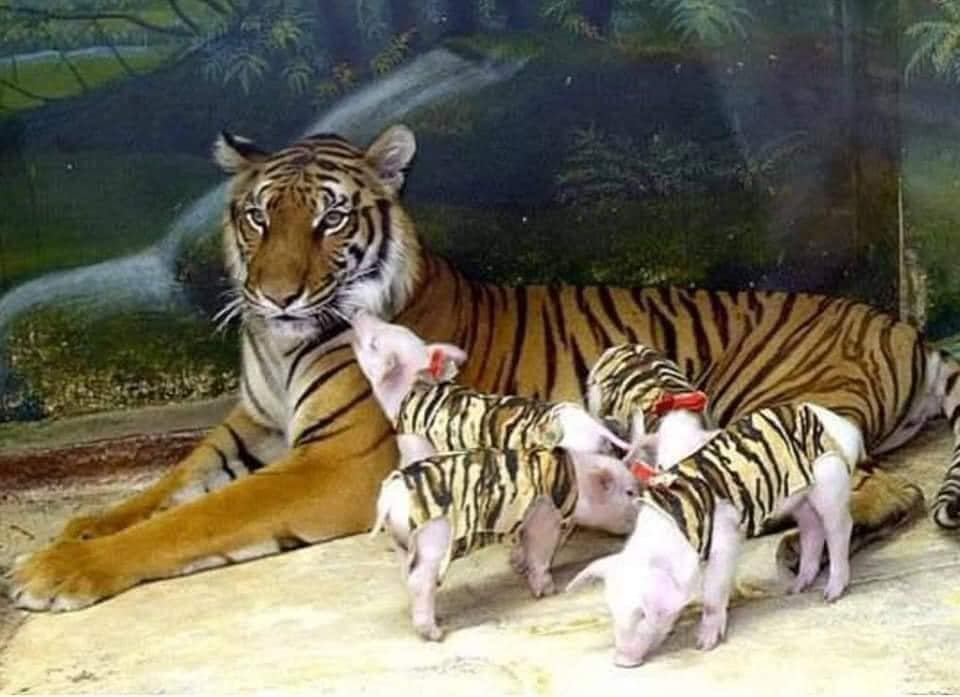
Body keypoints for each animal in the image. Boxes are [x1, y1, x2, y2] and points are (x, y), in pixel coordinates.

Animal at [11, 124, 960, 613]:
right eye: (257, 217)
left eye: (327, 220)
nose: (275, 294)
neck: (277, 349)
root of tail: (899, 323)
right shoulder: (249, 427)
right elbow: (161, 489)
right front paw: (73, 530)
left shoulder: (334, 465)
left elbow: (196, 520)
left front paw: (53, 573)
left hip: (758, 409)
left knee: (883, 485)